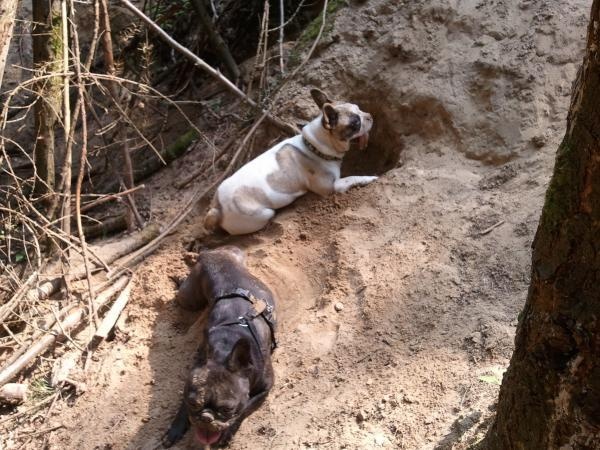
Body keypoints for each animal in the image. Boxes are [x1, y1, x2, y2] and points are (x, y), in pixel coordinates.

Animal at [204, 89, 378, 236]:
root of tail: (216, 208)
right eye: (356, 123)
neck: (314, 146)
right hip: (260, 214)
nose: (369, 115)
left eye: (360, 108)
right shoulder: (330, 188)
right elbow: (351, 178)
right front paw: (369, 178)